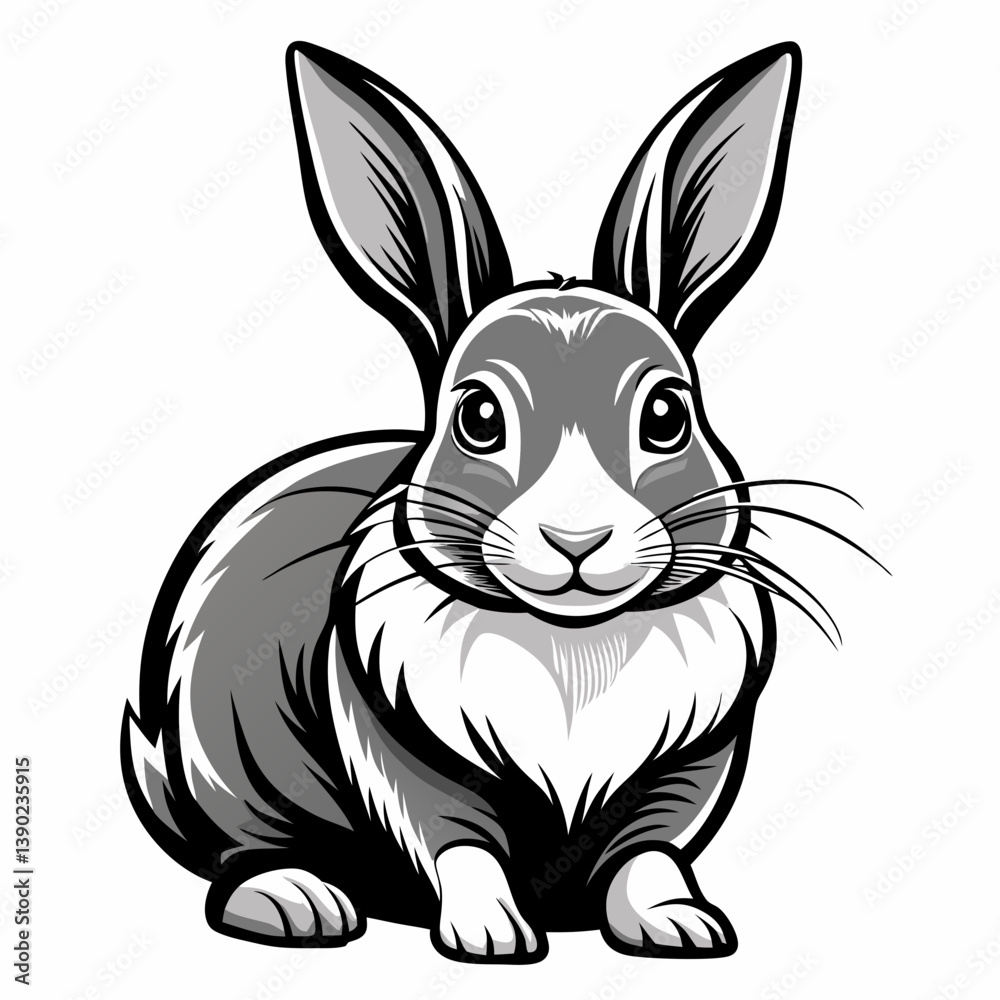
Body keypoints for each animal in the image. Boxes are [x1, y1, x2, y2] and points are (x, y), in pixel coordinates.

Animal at [123, 40, 809, 962]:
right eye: (478, 416)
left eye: (668, 414)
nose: (577, 539)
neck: (573, 643)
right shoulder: (410, 767)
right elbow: (461, 848)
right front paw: (492, 938)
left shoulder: (679, 781)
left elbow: (650, 857)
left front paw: (682, 926)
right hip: (221, 762)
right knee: (239, 852)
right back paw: (299, 902)